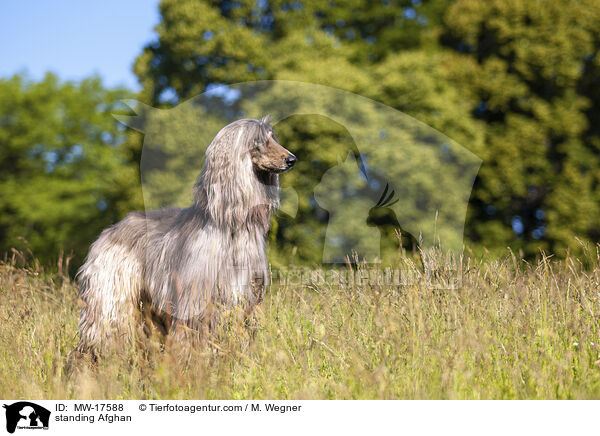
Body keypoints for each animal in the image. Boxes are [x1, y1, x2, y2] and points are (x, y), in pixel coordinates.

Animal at [76, 116, 296, 354]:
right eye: (258, 142)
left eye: (273, 138)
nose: (292, 159)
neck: (231, 228)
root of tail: (109, 230)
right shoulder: (196, 298)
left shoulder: (245, 297)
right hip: (111, 297)